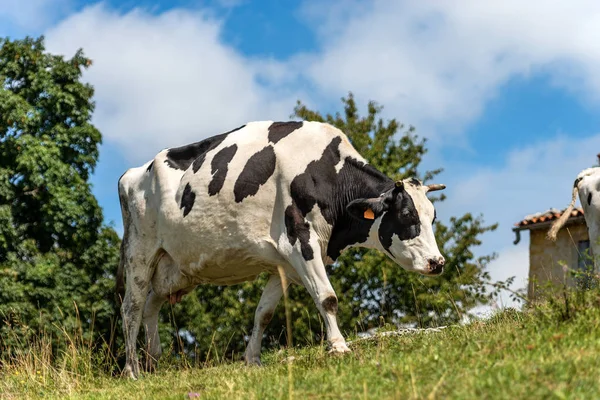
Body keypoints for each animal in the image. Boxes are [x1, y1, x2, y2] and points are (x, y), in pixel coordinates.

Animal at [117, 119, 446, 378]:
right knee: (132, 307)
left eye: (432, 216)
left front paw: (252, 360)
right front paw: (339, 346)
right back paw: (132, 370)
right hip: (139, 250)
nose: (438, 262)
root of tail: (134, 172)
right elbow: (327, 298)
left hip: (176, 268)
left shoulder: (283, 261)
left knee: (151, 304)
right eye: (407, 215)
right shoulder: (300, 239)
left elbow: (264, 313)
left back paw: (154, 360)